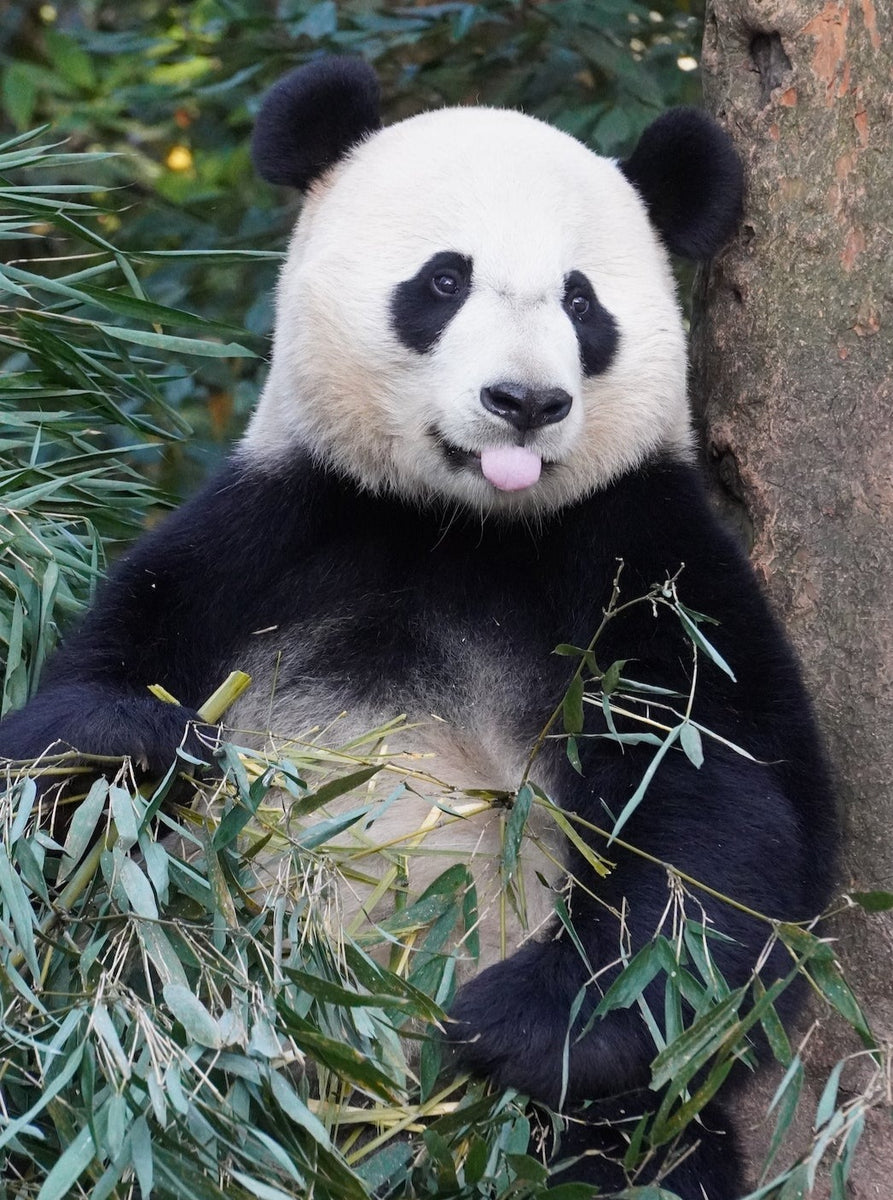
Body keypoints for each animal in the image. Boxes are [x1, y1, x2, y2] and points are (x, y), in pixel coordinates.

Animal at [0, 58, 836, 1199]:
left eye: (581, 300)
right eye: (443, 282)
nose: (524, 401)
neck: (461, 525)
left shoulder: (640, 557)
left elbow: (721, 815)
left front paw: (507, 1024)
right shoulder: (272, 531)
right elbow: (56, 768)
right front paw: (137, 736)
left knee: (636, 1153)